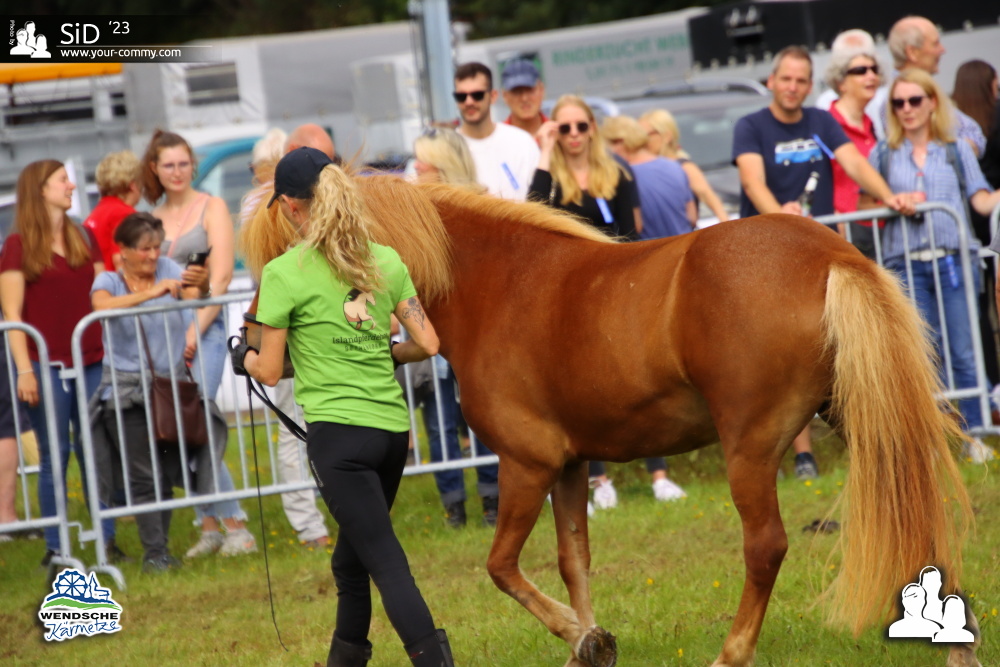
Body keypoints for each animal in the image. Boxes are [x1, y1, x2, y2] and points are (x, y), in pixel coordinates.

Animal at [241, 174, 979, 667]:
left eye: (280, 251)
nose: (251, 340)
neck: (501, 282)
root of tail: (833, 256)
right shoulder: (571, 465)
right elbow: (574, 559)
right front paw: (587, 641)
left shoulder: (527, 461)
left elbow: (502, 565)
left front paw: (583, 636)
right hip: (867, 421)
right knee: (920, 509)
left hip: (751, 447)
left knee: (765, 546)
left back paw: (731, 652)